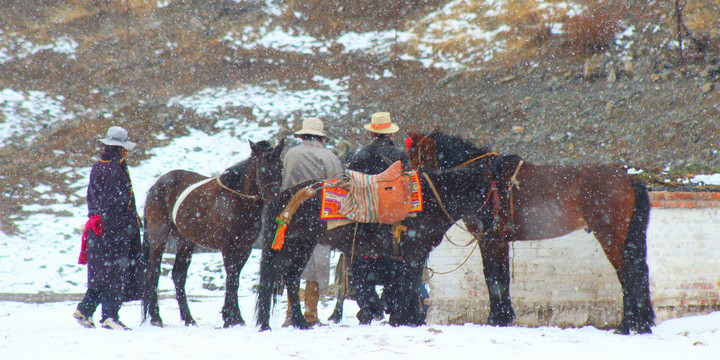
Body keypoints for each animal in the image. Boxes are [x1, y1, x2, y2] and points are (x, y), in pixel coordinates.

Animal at [141, 139, 284, 330]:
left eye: (280, 166)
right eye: (261, 169)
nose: (275, 198)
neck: (238, 201)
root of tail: (156, 185)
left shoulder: (244, 248)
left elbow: (235, 278)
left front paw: (230, 315)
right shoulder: (228, 247)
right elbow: (232, 278)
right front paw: (233, 318)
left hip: (185, 242)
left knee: (178, 275)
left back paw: (188, 318)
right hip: (159, 237)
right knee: (153, 272)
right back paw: (156, 317)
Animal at [256, 164, 498, 332]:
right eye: (495, 194)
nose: (490, 226)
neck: (432, 199)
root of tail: (286, 197)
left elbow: (405, 285)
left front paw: (403, 318)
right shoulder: (414, 253)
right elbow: (408, 285)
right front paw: (403, 319)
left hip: (302, 245)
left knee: (290, 278)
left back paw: (297, 322)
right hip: (295, 245)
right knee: (280, 277)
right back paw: (276, 323)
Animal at [408, 130, 656, 334]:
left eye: (414, 155)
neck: (482, 181)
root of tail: (628, 178)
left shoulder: (489, 240)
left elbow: (492, 278)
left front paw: (495, 318)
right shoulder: (500, 241)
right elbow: (501, 277)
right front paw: (504, 317)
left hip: (609, 237)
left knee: (627, 274)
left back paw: (626, 325)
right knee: (640, 271)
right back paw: (642, 324)